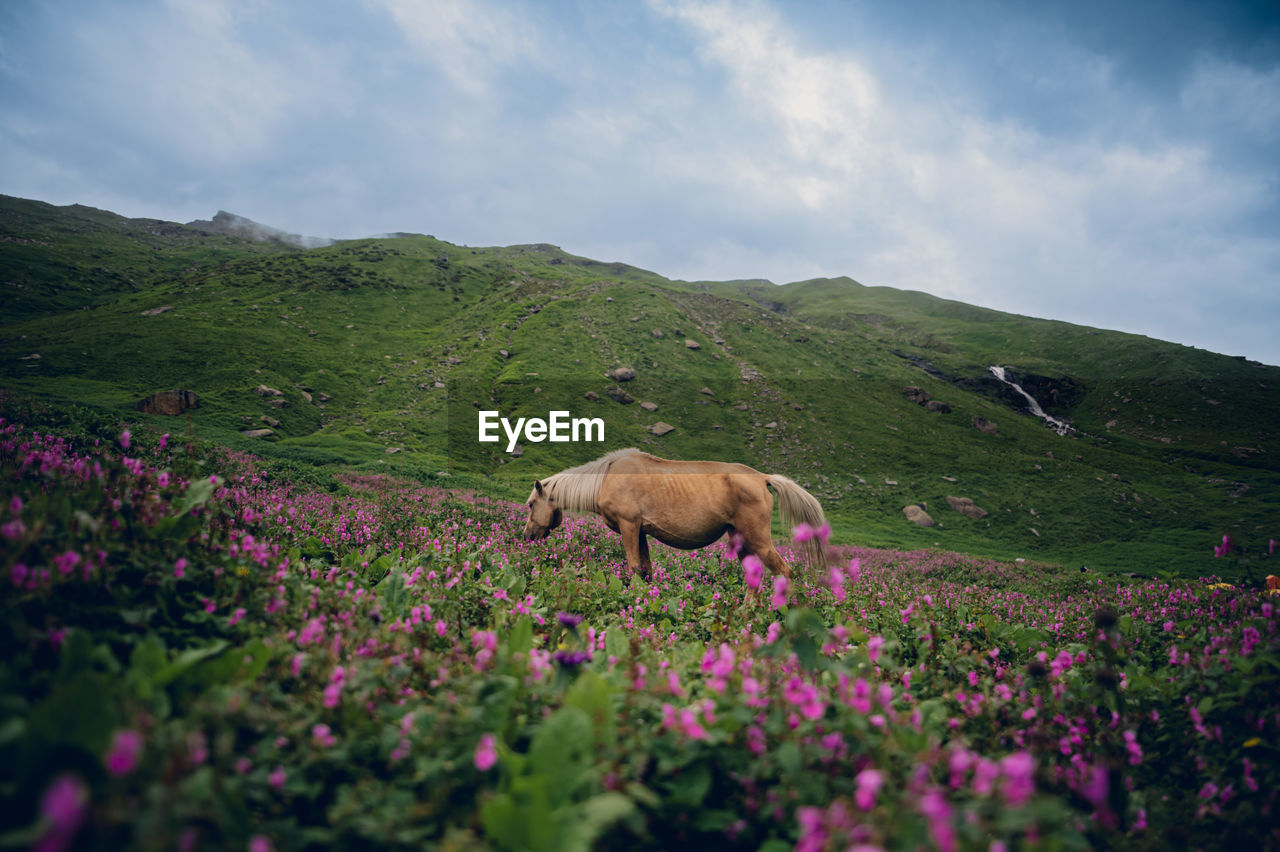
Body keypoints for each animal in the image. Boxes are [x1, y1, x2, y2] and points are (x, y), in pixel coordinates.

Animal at [522, 448, 826, 580]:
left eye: (530, 504)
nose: (527, 536)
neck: (607, 477)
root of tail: (763, 478)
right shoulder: (640, 531)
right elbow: (645, 569)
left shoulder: (629, 526)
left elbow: (633, 567)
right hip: (741, 541)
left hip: (759, 540)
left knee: (785, 572)